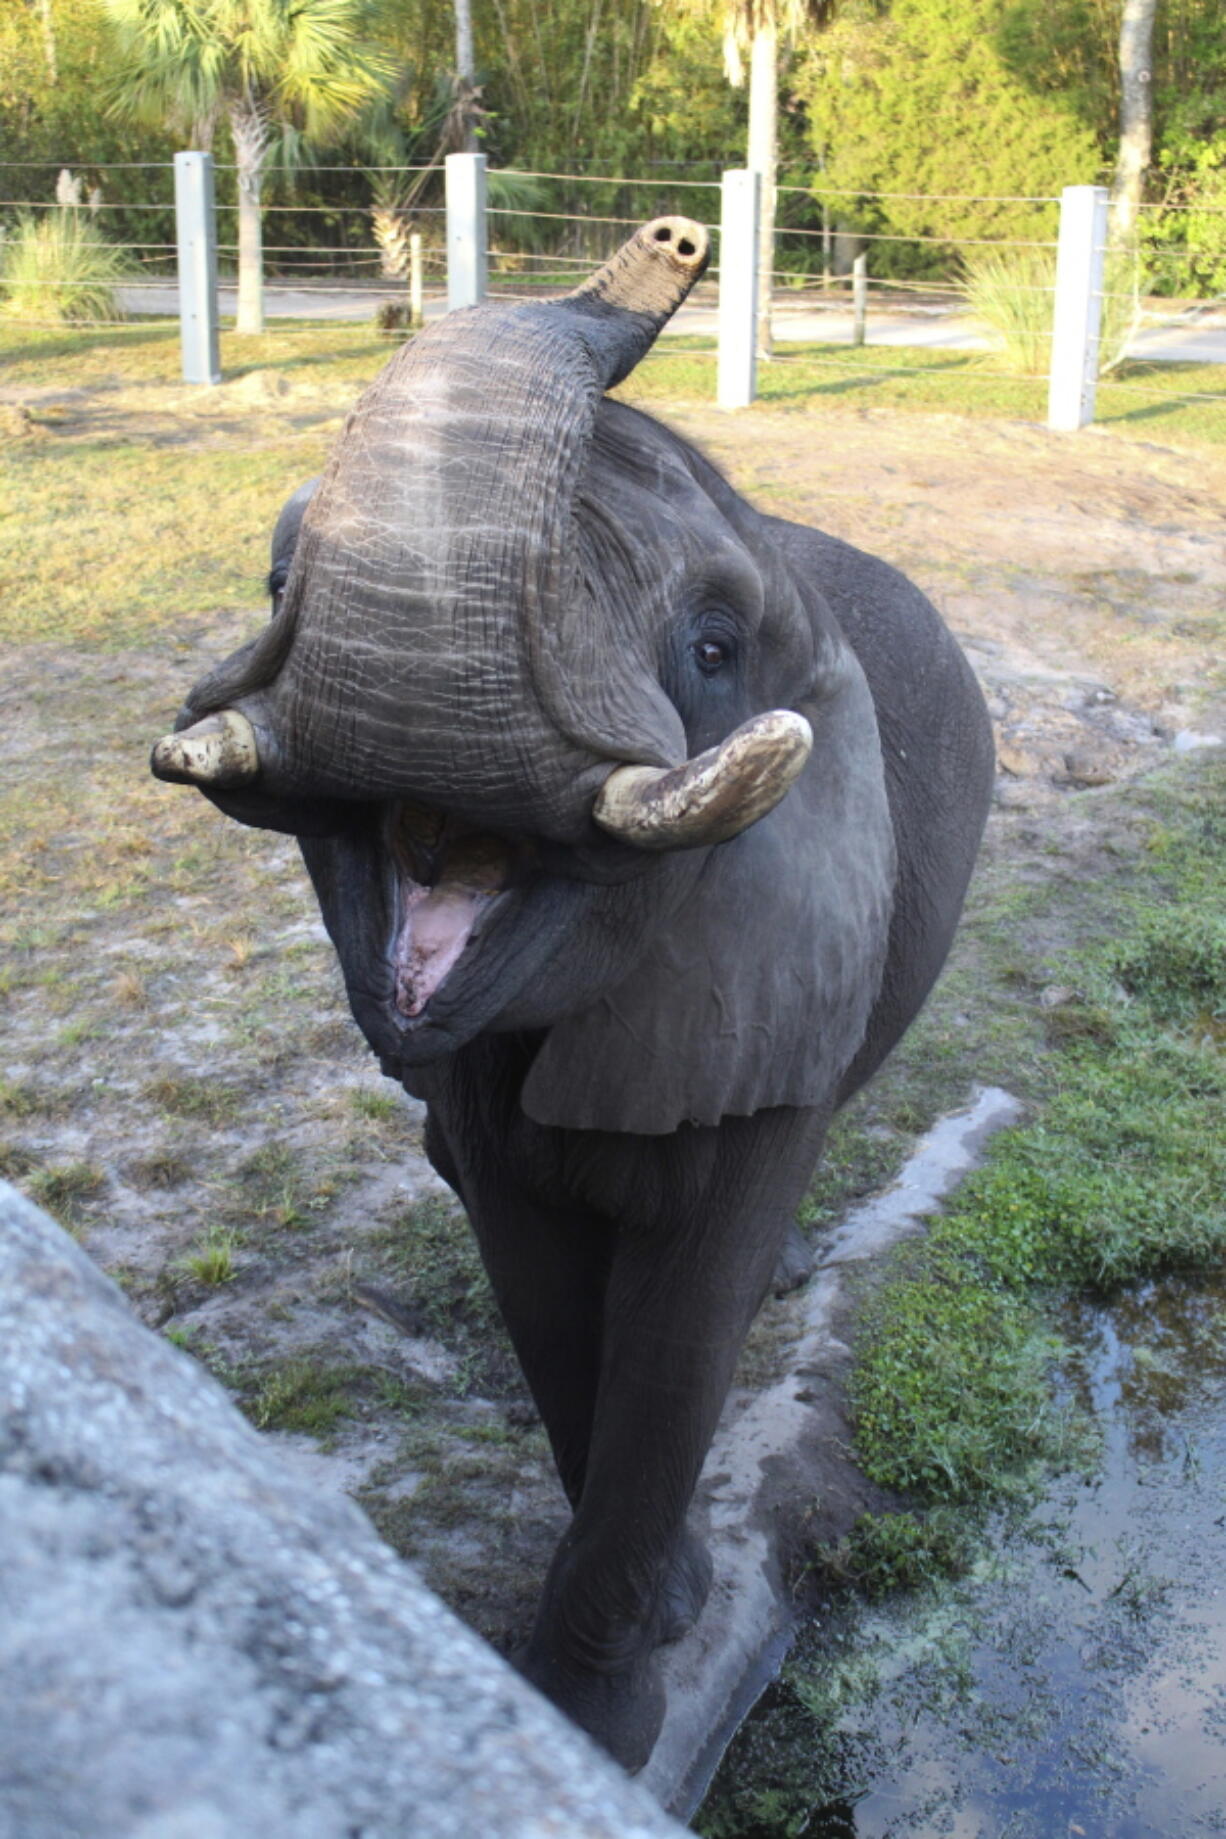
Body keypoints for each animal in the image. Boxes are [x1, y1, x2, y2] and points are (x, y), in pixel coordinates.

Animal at [153, 218, 999, 1780]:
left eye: (713, 648)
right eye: (273, 584)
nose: (674, 239)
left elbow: (681, 1316)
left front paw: (604, 1710)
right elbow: (539, 1279)